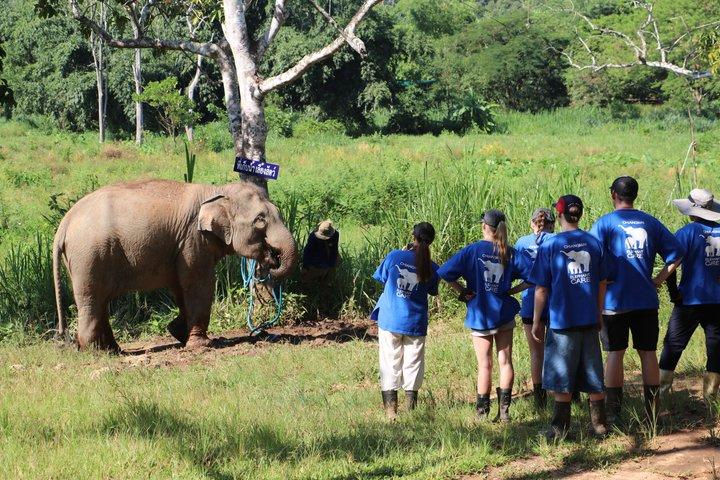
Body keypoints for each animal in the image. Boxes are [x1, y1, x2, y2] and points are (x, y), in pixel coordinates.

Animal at [52, 179, 298, 352]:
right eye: (260, 220)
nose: (272, 259)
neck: (216, 191)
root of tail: (64, 224)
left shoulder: (179, 248)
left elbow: (180, 287)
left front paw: (178, 332)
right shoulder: (193, 240)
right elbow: (199, 285)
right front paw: (201, 344)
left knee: (100, 301)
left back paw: (112, 350)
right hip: (89, 256)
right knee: (91, 299)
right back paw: (94, 351)